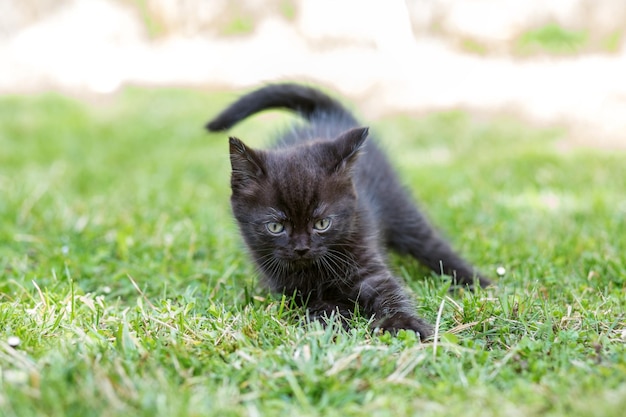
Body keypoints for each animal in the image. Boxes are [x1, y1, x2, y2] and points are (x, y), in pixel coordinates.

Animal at [207, 83, 490, 338]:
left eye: (322, 223)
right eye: (276, 226)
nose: (301, 248)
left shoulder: (366, 256)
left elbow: (388, 291)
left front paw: (403, 325)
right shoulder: (290, 288)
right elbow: (320, 305)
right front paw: (335, 322)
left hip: (397, 204)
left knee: (430, 244)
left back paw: (477, 282)